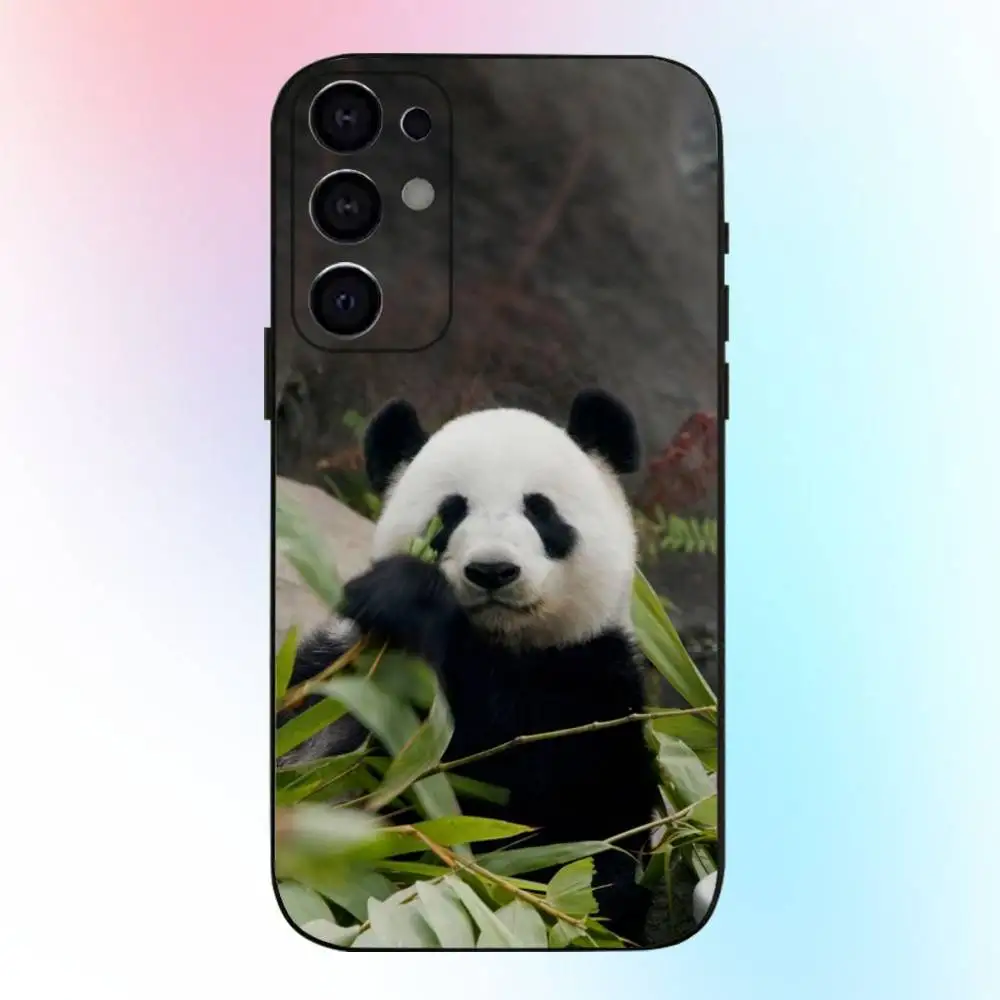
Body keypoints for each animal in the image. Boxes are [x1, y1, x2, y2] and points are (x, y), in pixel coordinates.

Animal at [280, 389, 662, 945]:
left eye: (541, 511)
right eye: (451, 513)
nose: (492, 571)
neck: (498, 642)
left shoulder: (593, 684)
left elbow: (522, 796)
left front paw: (407, 597)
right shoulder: (330, 670)